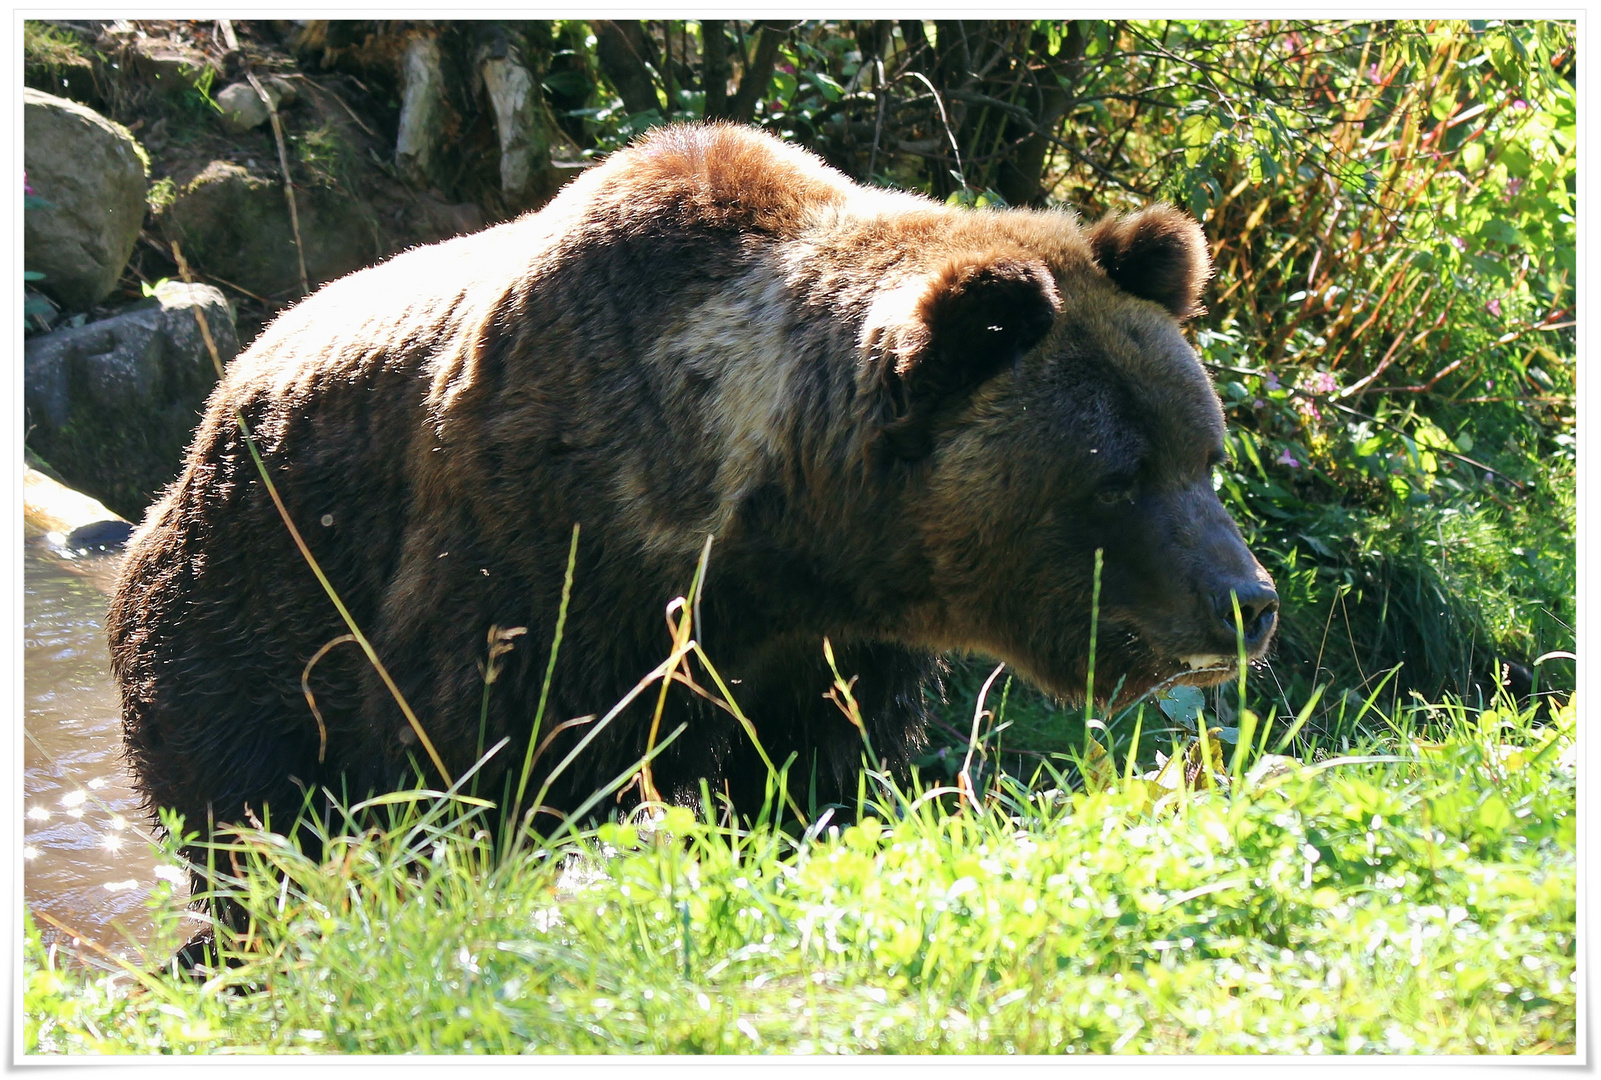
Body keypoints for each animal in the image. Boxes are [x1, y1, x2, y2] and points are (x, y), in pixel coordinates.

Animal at [103, 124, 1274, 844]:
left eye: (1203, 454)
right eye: (1113, 477)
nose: (1245, 601)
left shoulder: (829, 647)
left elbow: (821, 768)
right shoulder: (538, 559)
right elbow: (486, 755)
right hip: (246, 608)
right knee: (253, 808)